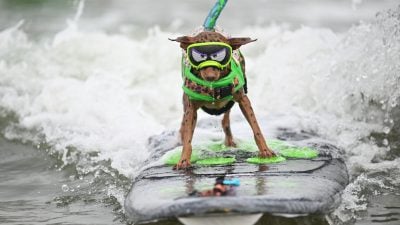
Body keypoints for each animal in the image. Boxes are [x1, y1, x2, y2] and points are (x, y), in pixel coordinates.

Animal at [169, 30, 276, 170]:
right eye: (199, 56)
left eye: (219, 56)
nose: (210, 76)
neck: (213, 87)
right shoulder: (191, 108)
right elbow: (188, 138)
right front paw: (183, 159)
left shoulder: (243, 100)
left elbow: (256, 128)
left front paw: (265, 150)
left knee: (226, 119)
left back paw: (229, 139)